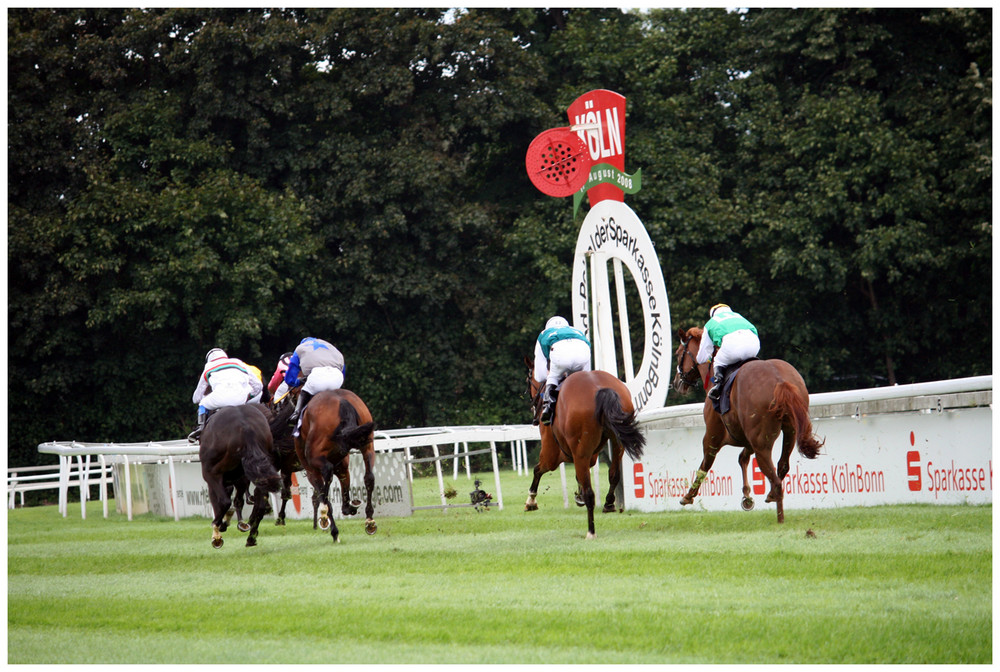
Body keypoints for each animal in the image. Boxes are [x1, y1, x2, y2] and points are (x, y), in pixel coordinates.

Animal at [197, 402, 282, 548]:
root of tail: (245, 427)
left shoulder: (212, 475)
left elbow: (220, 500)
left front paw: (221, 527)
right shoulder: (240, 476)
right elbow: (238, 499)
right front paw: (236, 522)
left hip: (212, 471)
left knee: (224, 500)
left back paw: (216, 531)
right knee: (260, 503)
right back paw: (251, 538)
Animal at [296, 388, 378, 540]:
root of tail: (342, 401)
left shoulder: (312, 470)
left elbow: (322, 492)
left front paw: (327, 520)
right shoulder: (342, 467)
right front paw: (348, 507)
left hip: (315, 459)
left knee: (327, 477)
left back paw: (329, 523)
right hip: (368, 445)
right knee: (369, 477)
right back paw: (369, 521)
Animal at [524, 356, 648, 540]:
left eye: (528, 380)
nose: (534, 409)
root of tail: (600, 388)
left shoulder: (552, 455)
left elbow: (537, 470)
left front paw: (531, 501)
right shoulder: (588, 456)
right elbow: (580, 476)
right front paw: (579, 495)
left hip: (577, 450)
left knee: (591, 493)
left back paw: (591, 531)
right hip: (617, 442)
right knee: (614, 474)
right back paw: (608, 503)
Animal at [668, 328, 824, 524]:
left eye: (678, 353)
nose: (676, 383)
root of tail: (780, 381)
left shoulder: (712, 436)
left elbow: (705, 465)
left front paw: (688, 496)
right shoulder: (747, 438)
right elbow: (742, 458)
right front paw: (747, 497)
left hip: (762, 444)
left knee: (775, 479)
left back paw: (780, 518)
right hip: (789, 431)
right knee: (782, 466)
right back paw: (771, 496)